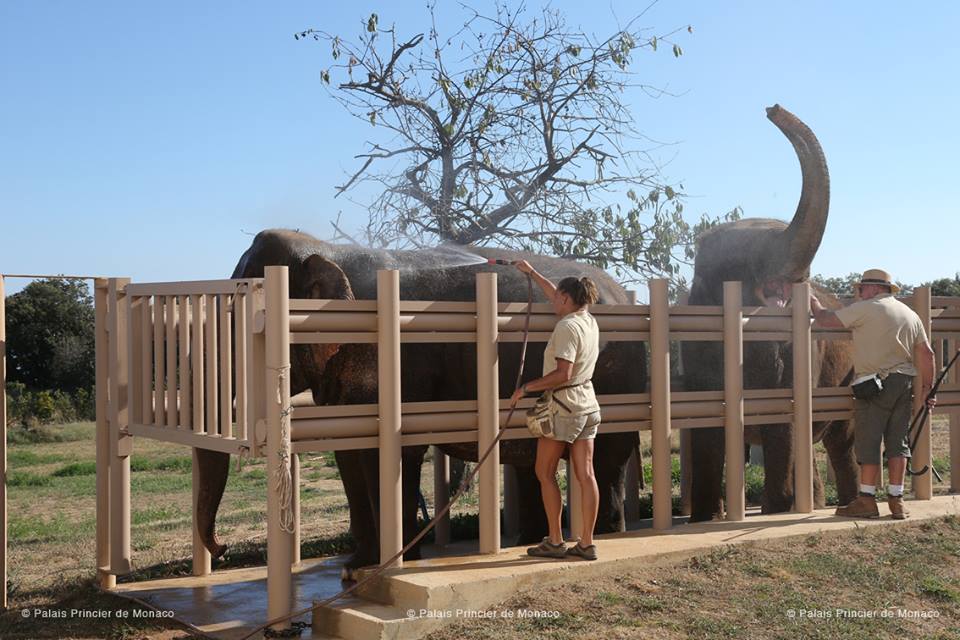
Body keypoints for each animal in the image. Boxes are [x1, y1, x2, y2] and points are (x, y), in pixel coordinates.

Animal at [194, 232, 644, 572]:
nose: (225, 550)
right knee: (537, 466)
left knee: (604, 463)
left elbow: (395, 452)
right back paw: (533, 541)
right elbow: (349, 453)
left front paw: (393, 563)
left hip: (617, 378)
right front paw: (357, 566)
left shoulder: (397, 364)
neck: (327, 249)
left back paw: (603, 536)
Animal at [680, 104, 860, 520]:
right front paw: (704, 518)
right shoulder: (694, 348)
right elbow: (707, 426)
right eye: (751, 255)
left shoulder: (799, 356)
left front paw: (777, 510)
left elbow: (784, 419)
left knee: (841, 439)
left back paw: (844, 505)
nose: (772, 108)